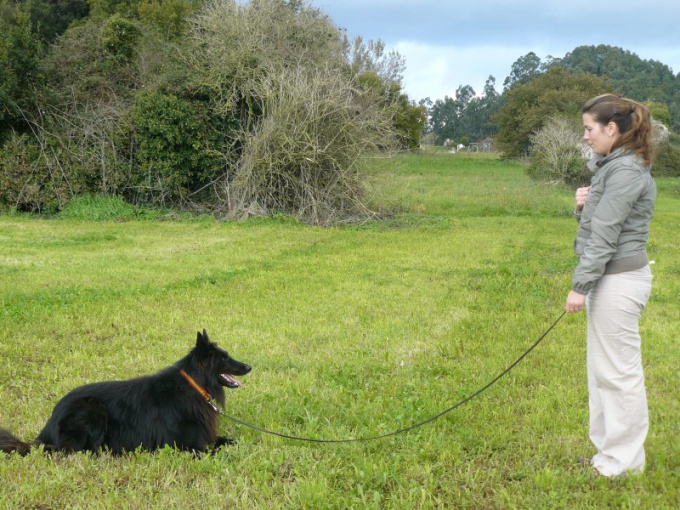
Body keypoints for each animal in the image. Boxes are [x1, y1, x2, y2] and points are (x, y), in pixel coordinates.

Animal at [0, 330, 250, 454]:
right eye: (225, 358)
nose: (249, 366)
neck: (194, 385)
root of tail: (49, 424)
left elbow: (236, 441)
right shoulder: (191, 446)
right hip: (92, 410)